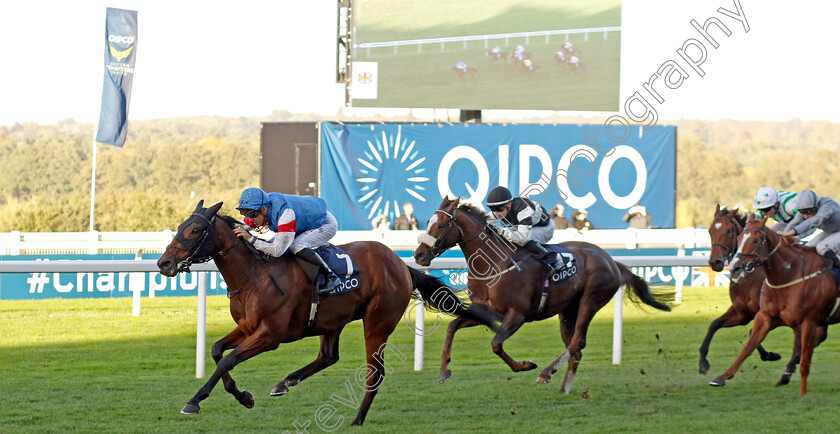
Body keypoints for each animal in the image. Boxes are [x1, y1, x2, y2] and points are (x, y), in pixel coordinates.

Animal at [157, 202, 498, 426]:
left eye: (195, 229)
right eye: (180, 227)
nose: (163, 263)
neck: (254, 274)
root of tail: (402, 265)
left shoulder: (270, 335)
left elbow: (228, 359)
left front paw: (194, 401)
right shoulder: (248, 327)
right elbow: (217, 350)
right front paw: (243, 396)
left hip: (377, 322)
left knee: (374, 373)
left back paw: (357, 419)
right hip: (332, 320)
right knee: (328, 356)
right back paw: (286, 382)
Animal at [410, 198, 672, 396]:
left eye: (441, 225)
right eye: (429, 222)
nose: (419, 255)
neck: (495, 263)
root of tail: (611, 261)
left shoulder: (518, 315)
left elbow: (496, 344)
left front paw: (525, 365)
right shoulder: (486, 310)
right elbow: (452, 327)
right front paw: (444, 370)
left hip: (591, 300)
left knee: (576, 342)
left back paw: (546, 372)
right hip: (567, 311)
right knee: (576, 347)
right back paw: (564, 387)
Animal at [708, 214, 840, 394]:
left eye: (729, 231)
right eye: (710, 231)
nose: (717, 262)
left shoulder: (805, 320)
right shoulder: (757, 314)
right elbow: (746, 343)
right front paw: (718, 375)